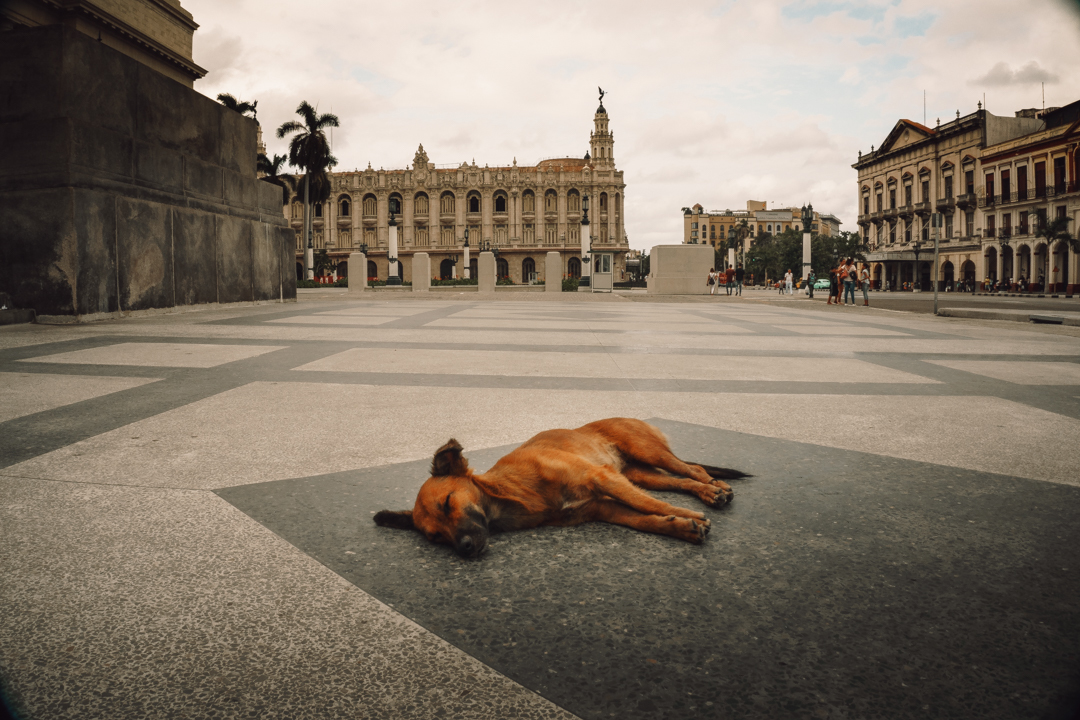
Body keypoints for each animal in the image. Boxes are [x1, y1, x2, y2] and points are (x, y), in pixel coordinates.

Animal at [375, 418, 747, 561]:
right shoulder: (602, 507)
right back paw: (709, 491)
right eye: (435, 537)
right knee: (682, 479)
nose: (465, 549)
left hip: (647, 453)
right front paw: (682, 526)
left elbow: (650, 506)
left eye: (449, 502)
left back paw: (714, 490)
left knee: (692, 469)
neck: (513, 493)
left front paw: (685, 515)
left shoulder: (602, 479)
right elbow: (645, 518)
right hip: (641, 474)